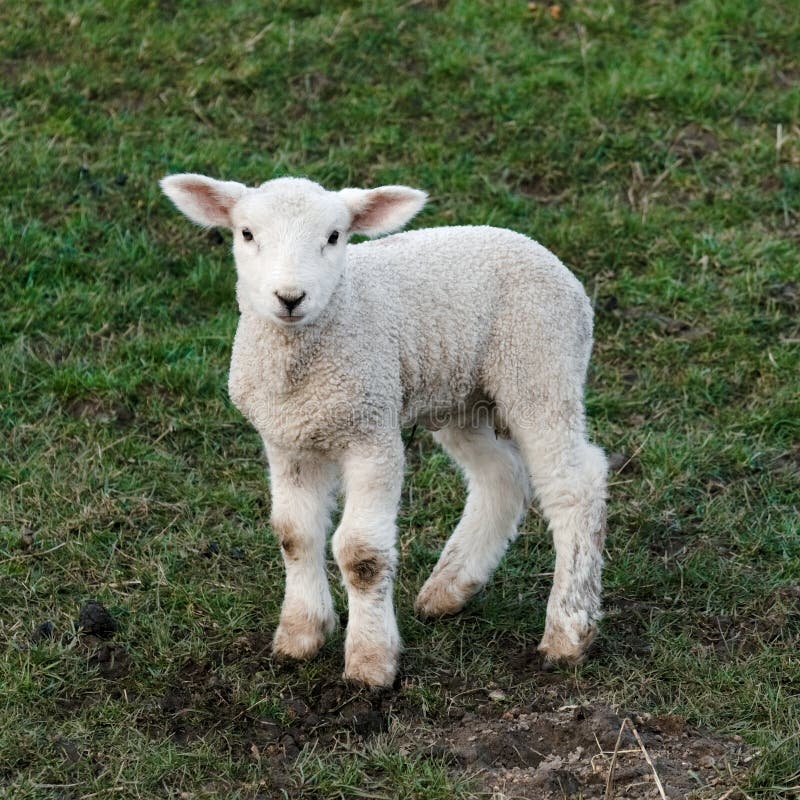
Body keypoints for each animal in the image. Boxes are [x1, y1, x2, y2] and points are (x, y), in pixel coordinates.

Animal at [160, 173, 608, 688]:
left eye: (335, 236)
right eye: (247, 234)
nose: (290, 298)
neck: (300, 370)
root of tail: (545, 255)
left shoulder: (370, 433)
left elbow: (361, 555)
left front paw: (370, 662)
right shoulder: (287, 441)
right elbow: (295, 534)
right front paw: (301, 634)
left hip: (539, 364)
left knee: (575, 484)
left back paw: (569, 631)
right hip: (461, 396)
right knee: (501, 476)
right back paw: (448, 589)